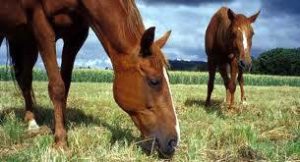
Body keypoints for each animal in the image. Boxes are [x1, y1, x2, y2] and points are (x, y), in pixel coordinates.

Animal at [0, 0, 178, 157]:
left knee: (25, 79)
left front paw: (61, 127)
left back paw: (31, 121)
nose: (173, 142)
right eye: (154, 81)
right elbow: (57, 87)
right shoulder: (41, 25)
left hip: (26, 40)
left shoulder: (76, 36)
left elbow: (65, 85)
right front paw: (61, 143)